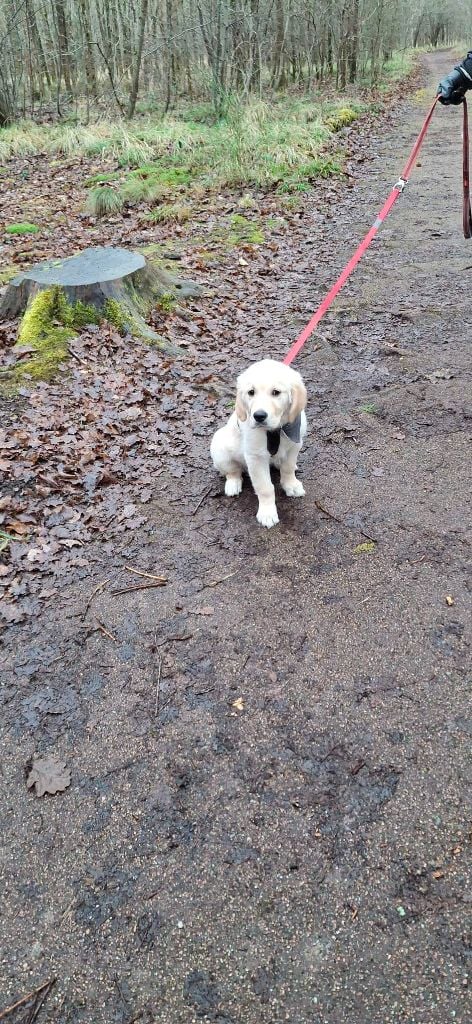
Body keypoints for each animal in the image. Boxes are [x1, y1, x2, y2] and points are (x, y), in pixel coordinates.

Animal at [208, 358, 305, 528]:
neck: (274, 431)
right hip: (219, 449)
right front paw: (267, 513)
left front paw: (291, 485)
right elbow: (265, 487)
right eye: (251, 392)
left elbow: (287, 468)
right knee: (233, 471)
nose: (259, 416)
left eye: (276, 392)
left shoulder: (294, 446)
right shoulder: (256, 458)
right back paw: (233, 484)